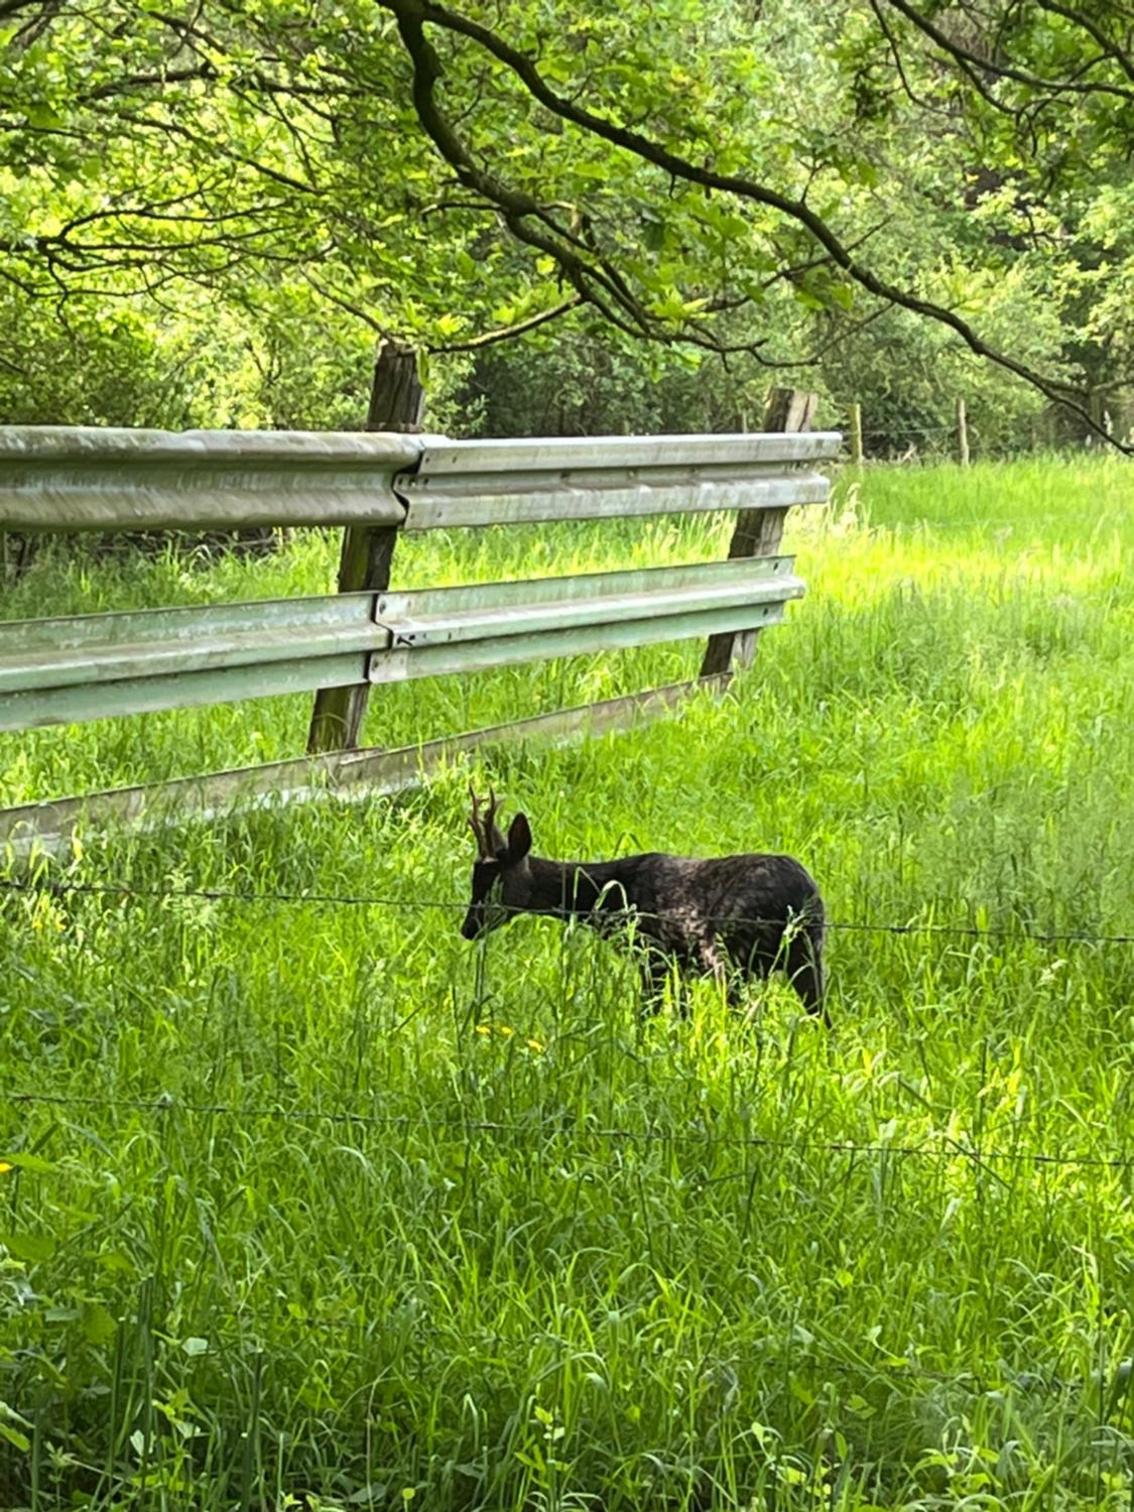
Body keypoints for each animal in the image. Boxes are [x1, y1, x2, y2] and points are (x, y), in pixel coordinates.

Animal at [461, 789, 828, 1022]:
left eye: (492, 882)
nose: (467, 928)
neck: (611, 899)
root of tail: (802, 897)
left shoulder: (652, 954)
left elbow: (646, 1014)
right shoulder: (681, 965)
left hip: (730, 955)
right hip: (807, 955)